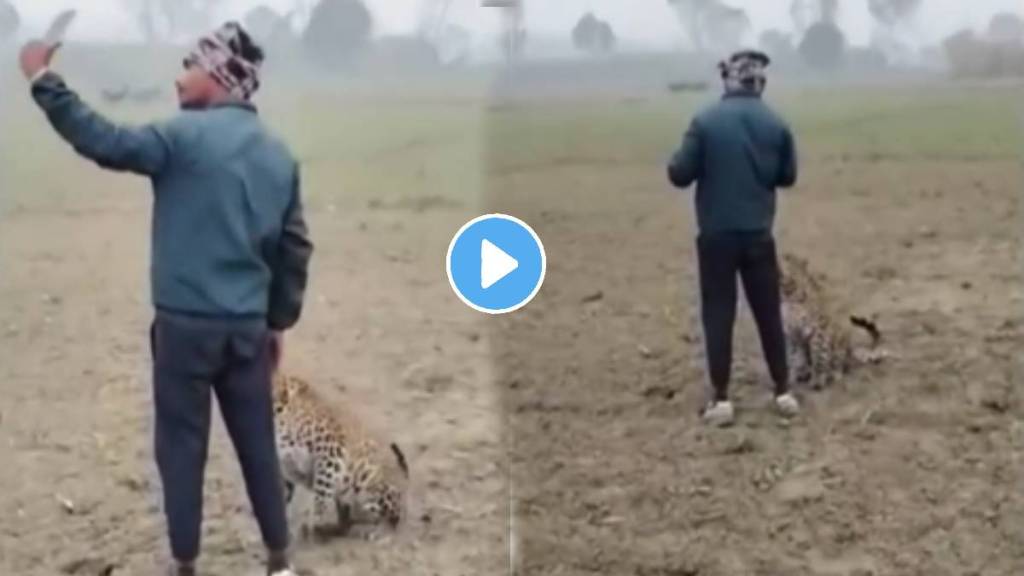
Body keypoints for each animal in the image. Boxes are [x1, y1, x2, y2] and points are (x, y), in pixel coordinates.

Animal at [774, 252, 888, 389]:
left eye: (787, 258)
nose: (776, 258)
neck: (788, 293)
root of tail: (851, 349)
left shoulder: (818, 329)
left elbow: (818, 356)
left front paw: (817, 380)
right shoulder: (791, 333)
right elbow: (795, 356)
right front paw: (798, 375)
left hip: (840, 342)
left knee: (839, 365)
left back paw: (833, 374)